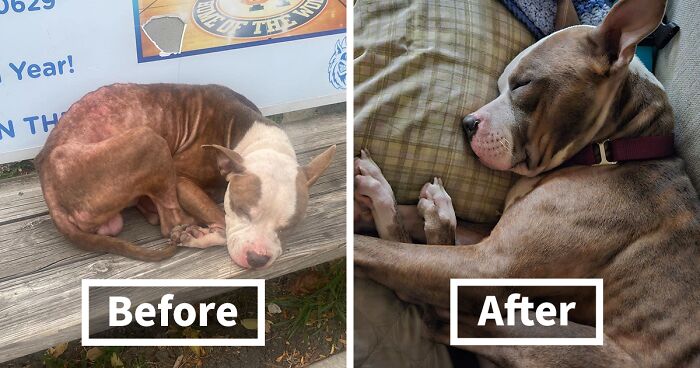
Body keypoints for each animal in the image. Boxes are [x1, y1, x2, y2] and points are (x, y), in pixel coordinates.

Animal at [35, 82, 336, 268]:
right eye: (241, 210)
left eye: (288, 227)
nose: (258, 259)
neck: (256, 138)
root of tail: (46, 176)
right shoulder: (182, 181)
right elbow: (223, 225)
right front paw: (200, 235)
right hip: (150, 141)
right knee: (170, 223)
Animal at [356, 0, 700, 366]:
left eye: (523, 84)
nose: (467, 123)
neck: (615, 148)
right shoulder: (489, 241)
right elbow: (410, 227)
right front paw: (362, 209)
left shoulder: (487, 267)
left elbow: (382, 252)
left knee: (437, 313)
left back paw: (429, 211)